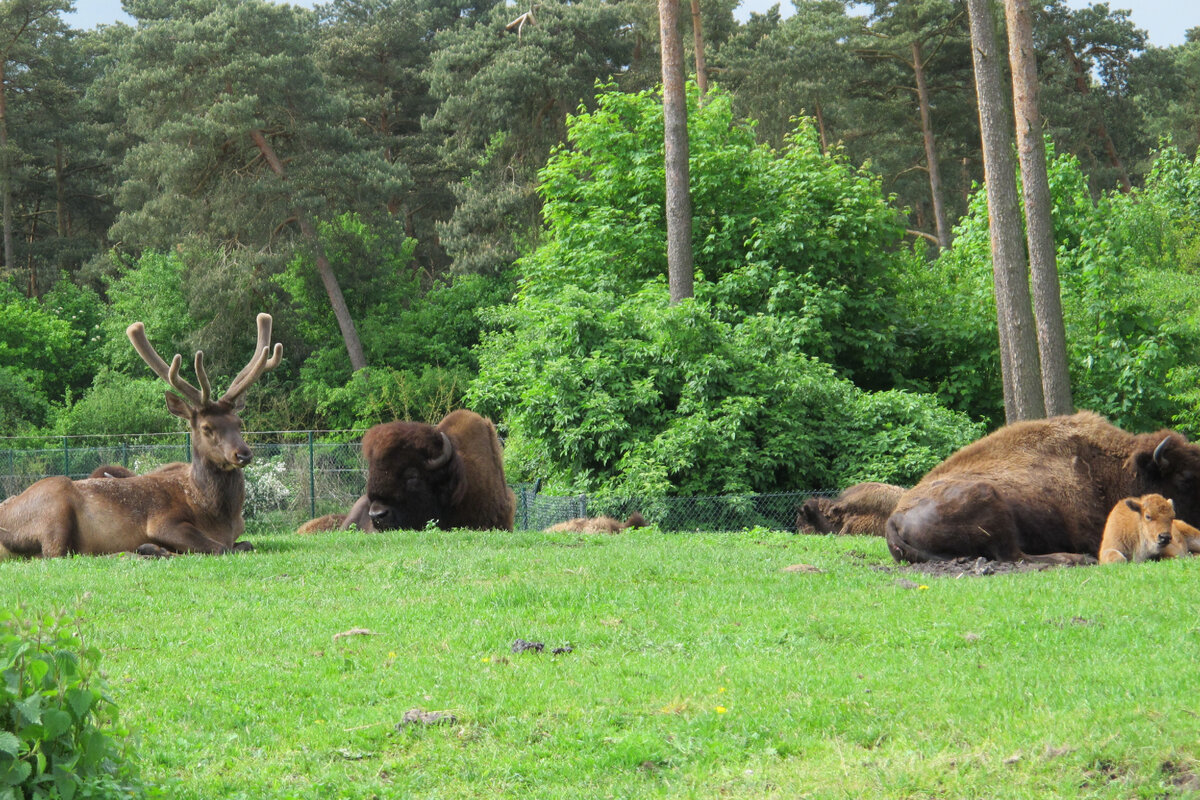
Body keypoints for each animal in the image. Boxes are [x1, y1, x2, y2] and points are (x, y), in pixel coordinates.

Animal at [0, 311, 280, 556]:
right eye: (206, 427)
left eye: (239, 422)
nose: (243, 454)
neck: (219, 516)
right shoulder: (162, 520)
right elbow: (220, 548)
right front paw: (158, 547)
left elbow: (246, 545)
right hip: (55, 510)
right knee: (62, 554)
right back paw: (146, 550)